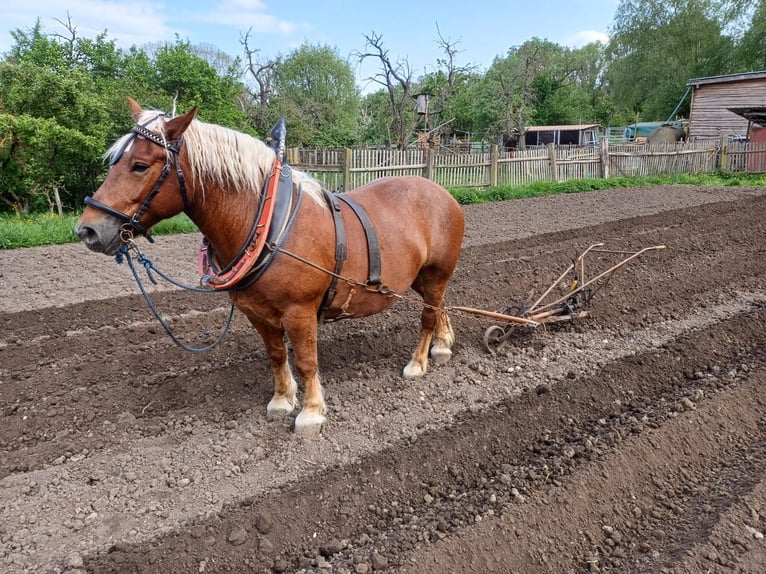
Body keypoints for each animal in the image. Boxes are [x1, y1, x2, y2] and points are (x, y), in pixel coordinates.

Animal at [76, 99, 468, 434]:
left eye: (140, 165)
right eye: (115, 161)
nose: (88, 230)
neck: (268, 227)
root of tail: (441, 191)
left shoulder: (300, 312)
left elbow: (307, 361)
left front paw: (311, 412)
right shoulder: (257, 313)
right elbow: (277, 355)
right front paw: (282, 400)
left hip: (435, 274)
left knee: (428, 316)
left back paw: (418, 363)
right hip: (417, 279)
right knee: (441, 306)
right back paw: (443, 344)